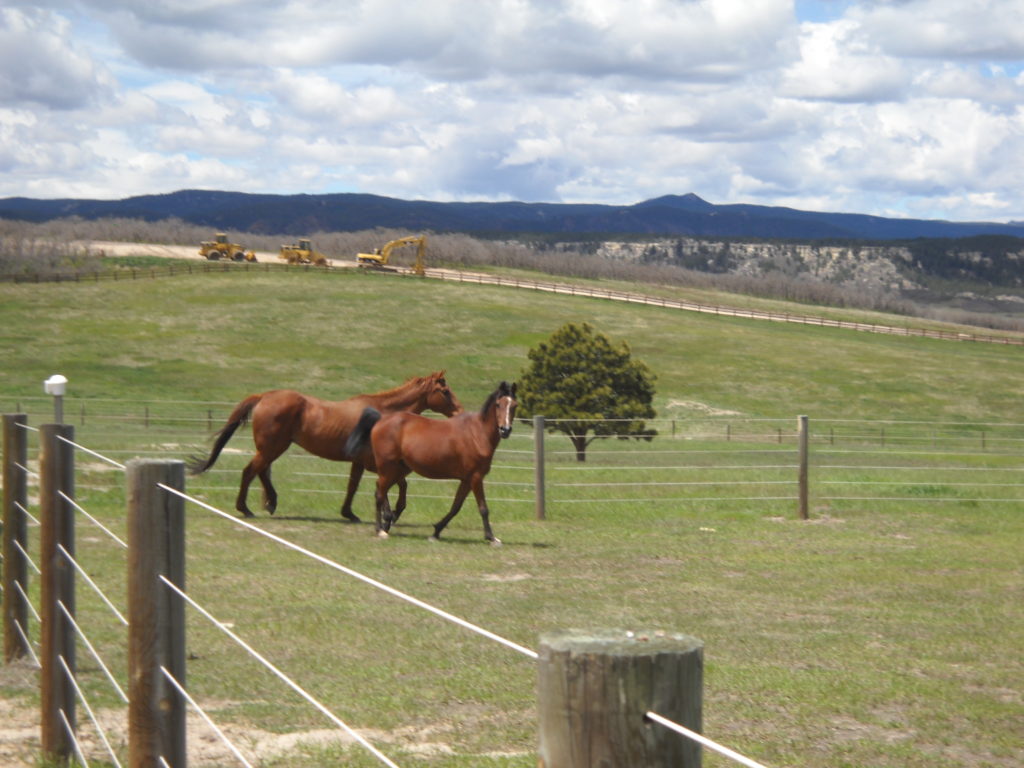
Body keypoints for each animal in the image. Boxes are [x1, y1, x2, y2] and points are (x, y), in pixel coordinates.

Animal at [187, 370, 460, 520]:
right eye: (445, 391)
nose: (459, 412)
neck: (382, 414)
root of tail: (265, 396)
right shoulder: (376, 462)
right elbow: (398, 484)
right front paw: (392, 512)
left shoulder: (360, 462)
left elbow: (353, 486)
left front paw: (350, 513)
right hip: (271, 448)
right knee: (250, 471)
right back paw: (246, 508)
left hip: (273, 448)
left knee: (261, 472)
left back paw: (270, 502)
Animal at [346, 382, 520, 544]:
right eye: (498, 404)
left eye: (514, 405)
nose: (505, 430)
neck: (477, 434)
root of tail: (381, 420)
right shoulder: (476, 478)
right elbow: (483, 508)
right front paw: (491, 538)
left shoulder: (467, 479)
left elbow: (455, 507)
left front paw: (436, 532)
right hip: (387, 467)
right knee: (379, 493)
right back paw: (380, 530)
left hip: (398, 469)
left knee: (382, 491)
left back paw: (386, 524)